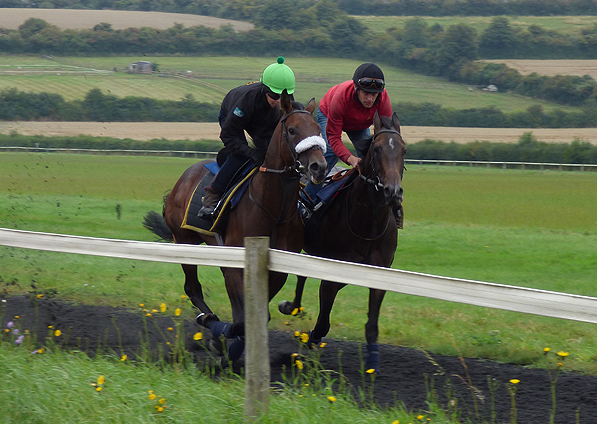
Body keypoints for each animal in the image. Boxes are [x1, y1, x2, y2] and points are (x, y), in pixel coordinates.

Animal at [147, 92, 328, 362]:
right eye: (292, 130)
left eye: (317, 129)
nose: (319, 166)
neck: (275, 212)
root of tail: (183, 178)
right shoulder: (237, 265)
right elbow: (243, 320)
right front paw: (222, 341)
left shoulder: (276, 270)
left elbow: (258, 314)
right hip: (185, 240)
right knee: (193, 289)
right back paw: (209, 321)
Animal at [280, 111, 406, 372]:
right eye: (376, 149)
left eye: (404, 149)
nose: (392, 191)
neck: (368, 224)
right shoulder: (332, 275)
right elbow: (323, 323)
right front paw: (308, 340)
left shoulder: (379, 273)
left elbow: (372, 326)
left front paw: (372, 364)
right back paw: (292, 308)